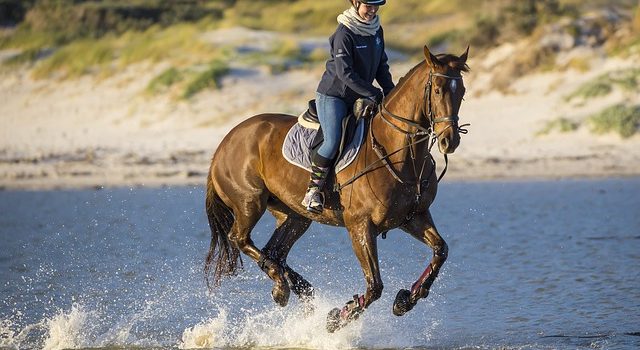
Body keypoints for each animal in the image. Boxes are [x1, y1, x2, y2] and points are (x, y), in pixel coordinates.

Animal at [205, 45, 470, 332]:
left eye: (462, 92)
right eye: (438, 90)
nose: (449, 140)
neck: (399, 153)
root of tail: (225, 142)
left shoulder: (413, 217)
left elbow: (440, 250)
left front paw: (405, 300)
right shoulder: (360, 227)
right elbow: (374, 286)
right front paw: (337, 317)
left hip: (295, 215)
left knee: (274, 251)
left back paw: (296, 289)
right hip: (249, 203)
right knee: (240, 238)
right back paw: (282, 287)